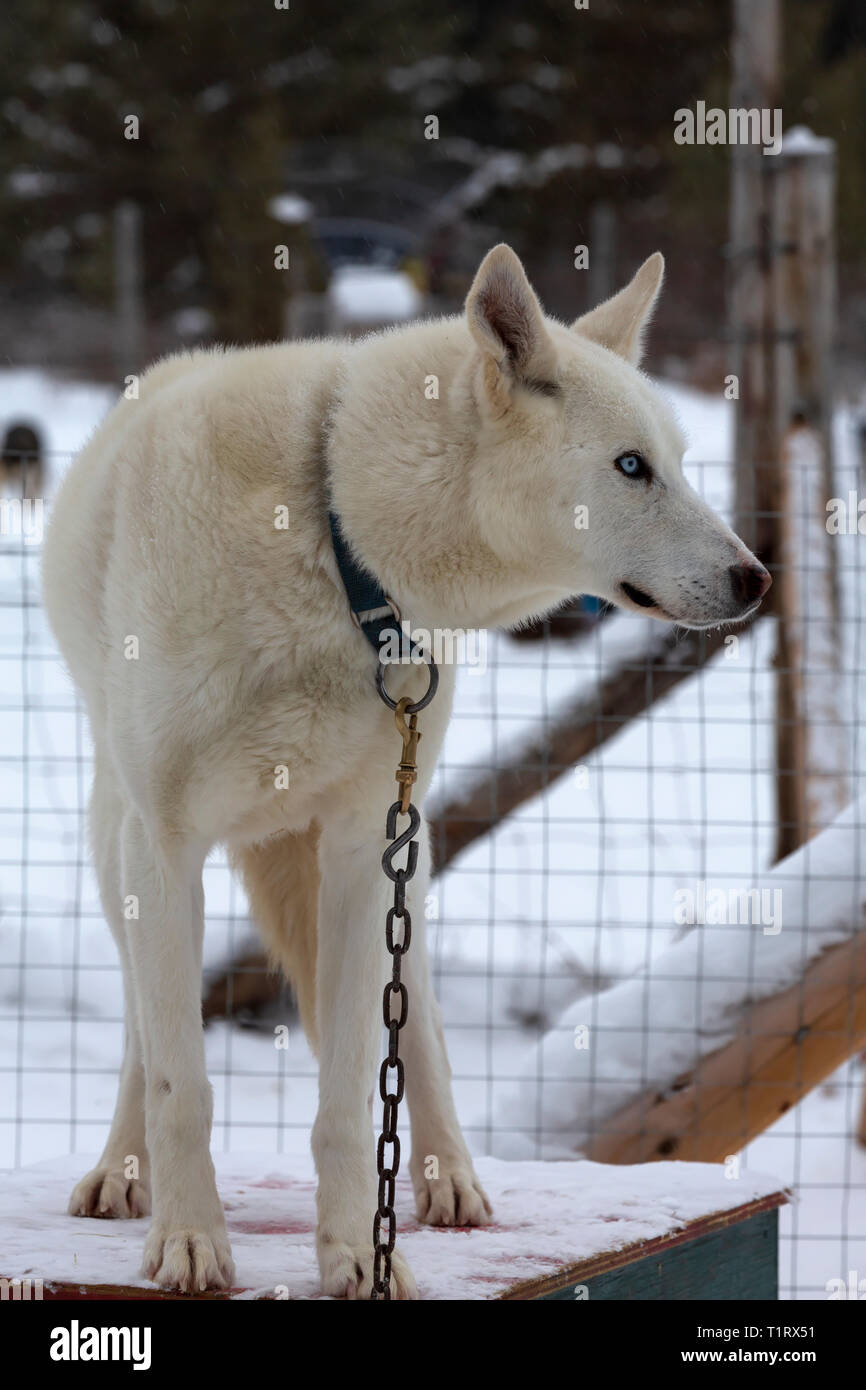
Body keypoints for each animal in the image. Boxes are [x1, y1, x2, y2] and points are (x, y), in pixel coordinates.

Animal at [40, 244, 772, 1295]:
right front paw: (189, 1242)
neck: (335, 535)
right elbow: (184, 1081)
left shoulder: (358, 854)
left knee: (418, 1025)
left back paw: (449, 1178)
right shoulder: (166, 846)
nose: (758, 577)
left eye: (676, 461)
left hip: (406, 861)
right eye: (633, 467)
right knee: (147, 1029)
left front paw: (359, 1253)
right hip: (121, 859)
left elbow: (350, 1098)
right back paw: (120, 1170)